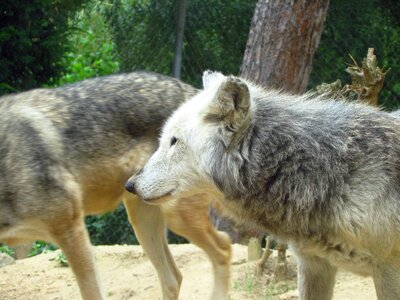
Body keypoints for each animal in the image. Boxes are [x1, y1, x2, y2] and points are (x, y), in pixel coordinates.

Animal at [0, 72, 231, 300]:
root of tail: (195, 92)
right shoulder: (23, 244)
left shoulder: (72, 231)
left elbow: (92, 293)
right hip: (143, 222)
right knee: (174, 278)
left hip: (176, 218)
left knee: (224, 247)